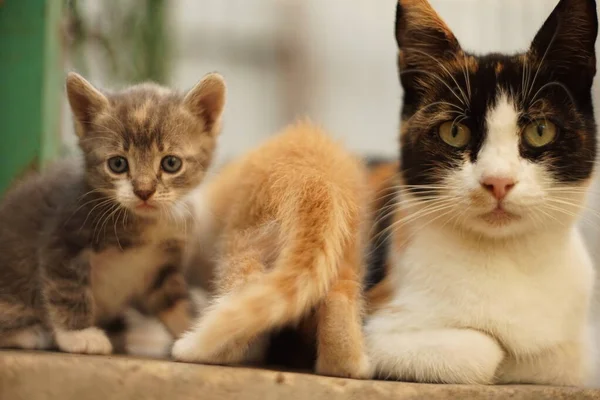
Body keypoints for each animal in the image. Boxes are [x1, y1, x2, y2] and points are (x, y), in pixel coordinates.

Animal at [0, 72, 226, 354]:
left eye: (171, 163)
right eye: (118, 164)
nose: (144, 191)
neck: (145, 224)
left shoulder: (161, 268)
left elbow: (175, 302)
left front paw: (196, 335)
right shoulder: (62, 239)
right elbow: (66, 289)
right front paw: (79, 334)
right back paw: (30, 333)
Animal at [171, 121, 372, 378]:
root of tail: (317, 177)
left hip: (245, 233)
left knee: (244, 290)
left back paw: (198, 351)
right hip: (346, 250)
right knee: (340, 295)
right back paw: (345, 366)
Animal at [364, 0, 596, 388]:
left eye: (540, 130)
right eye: (454, 131)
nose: (498, 181)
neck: (505, 256)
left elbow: (566, 356)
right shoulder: (367, 329)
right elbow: (486, 350)